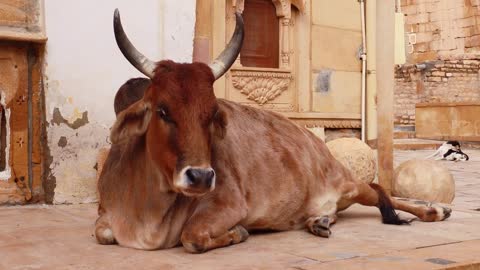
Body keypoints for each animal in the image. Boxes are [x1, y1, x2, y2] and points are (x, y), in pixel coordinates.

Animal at [95, 8, 452, 253]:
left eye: (212, 113)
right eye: (162, 110)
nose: (201, 177)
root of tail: (315, 143)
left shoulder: (228, 205)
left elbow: (191, 237)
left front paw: (238, 233)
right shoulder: (106, 217)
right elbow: (103, 233)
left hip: (349, 184)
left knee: (381, 193)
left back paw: (434, 209)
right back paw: (319, 222)